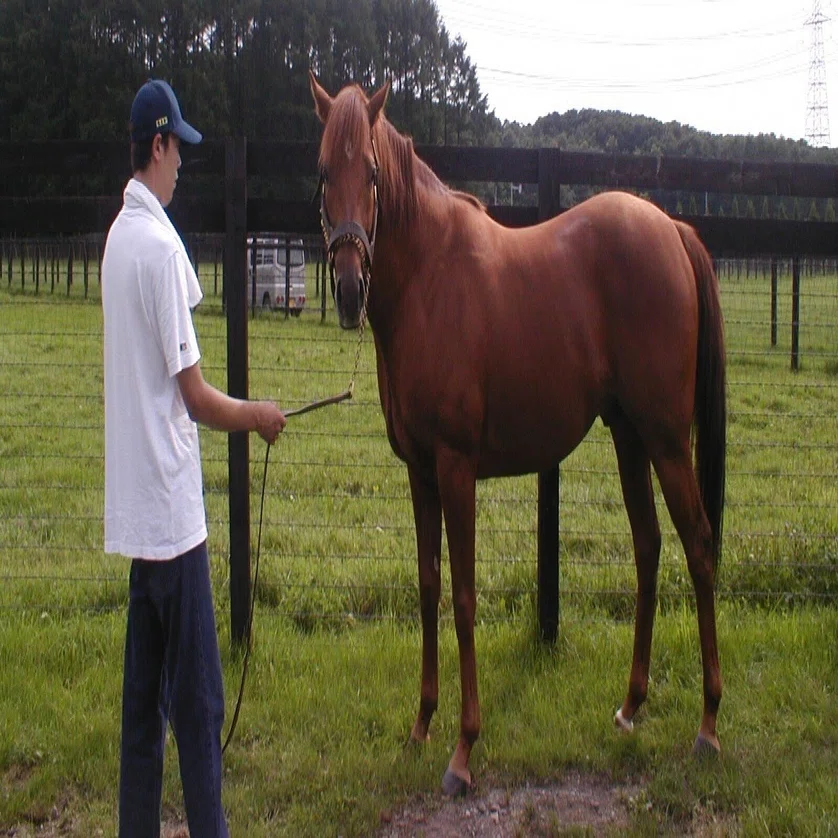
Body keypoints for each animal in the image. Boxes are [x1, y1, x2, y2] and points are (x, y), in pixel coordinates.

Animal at [310, 71, 727, 797]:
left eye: (372, 170)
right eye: (323, 170)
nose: (350, 288)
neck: (427, 281)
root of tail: (670, 228)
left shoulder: (455, 468)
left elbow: (464, 596)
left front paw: (463, 751)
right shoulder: (418, 471)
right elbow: (428, 586)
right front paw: (421, 724)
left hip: (669, 439)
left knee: (698, 547)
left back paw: (706, 725)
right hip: (630, 437)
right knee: (648, 548)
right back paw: (631, 705)